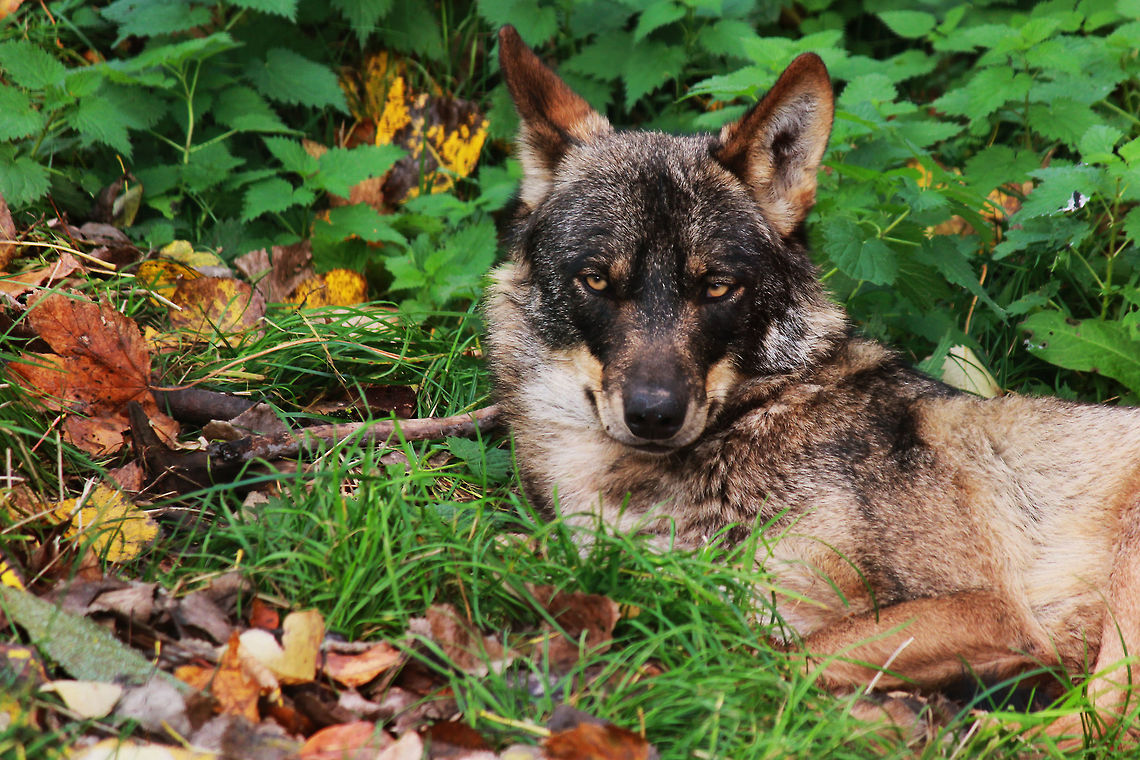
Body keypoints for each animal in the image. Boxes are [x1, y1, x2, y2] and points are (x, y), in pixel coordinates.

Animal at [484, 25, 1140, 743]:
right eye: (597, 280)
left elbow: (756, 662)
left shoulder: (986, 609)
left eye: (717, 287)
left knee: (1095, 727)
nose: (654, 414)